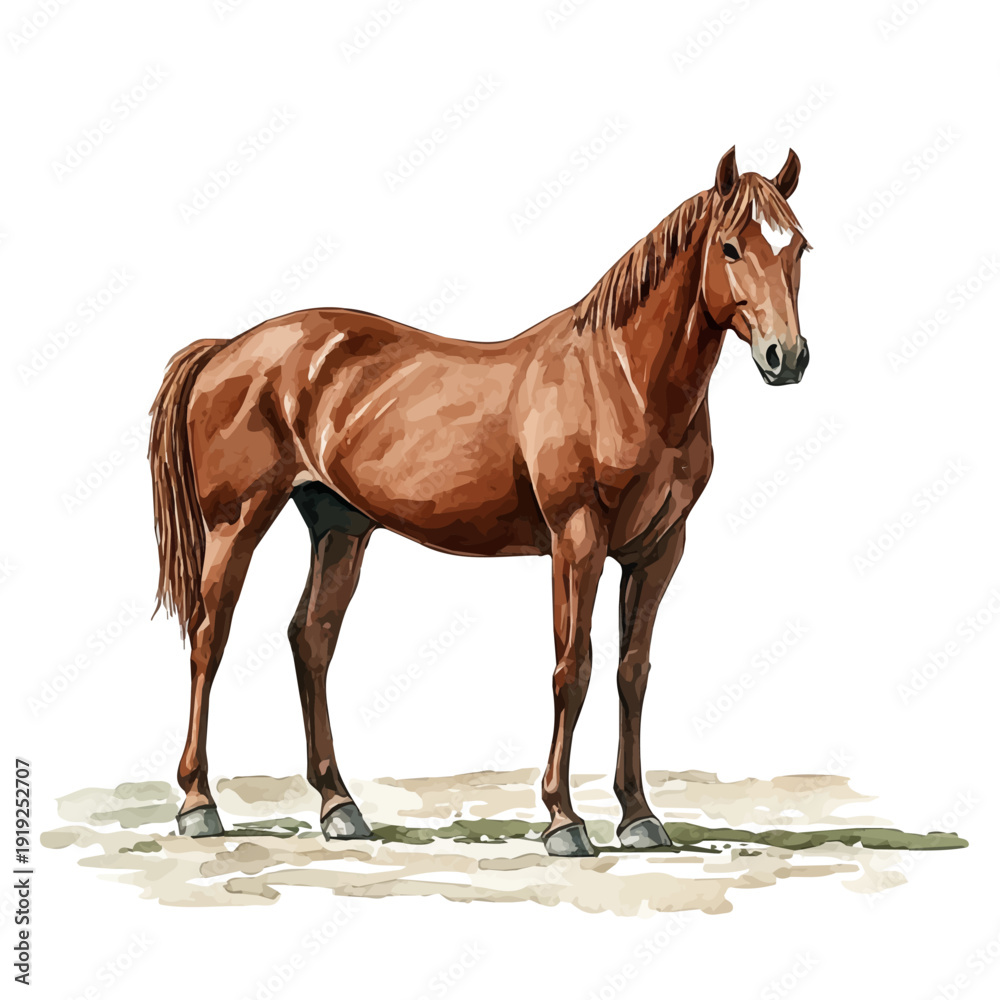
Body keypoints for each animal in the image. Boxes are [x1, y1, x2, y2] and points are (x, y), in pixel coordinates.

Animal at [148, 146, 810, 857]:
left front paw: (638, 816)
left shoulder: (658, 550)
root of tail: (226, 349)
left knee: (311, 639)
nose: (787, 357)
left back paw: (339, 806)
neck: (621, 378)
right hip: (236, 523)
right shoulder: (576, 542)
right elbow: (572, 668)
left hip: (339, 527)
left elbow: (632, 672)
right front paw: (563, 820)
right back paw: (198, 804)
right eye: (731, 247)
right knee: (209, 639)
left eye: (798, 246)